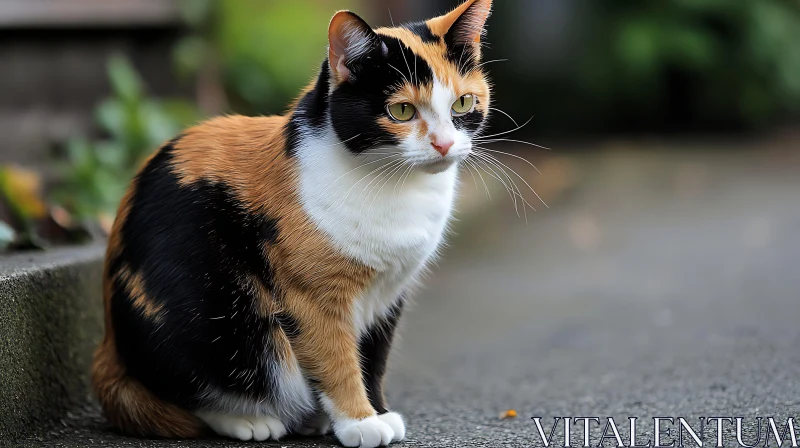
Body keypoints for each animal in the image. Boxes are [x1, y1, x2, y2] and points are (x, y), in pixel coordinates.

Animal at [92, 1, 494, 446]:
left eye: (463, 104)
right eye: (402, 110)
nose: (444, 144)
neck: (398, 188)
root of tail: (107, 349)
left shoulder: (389, 294)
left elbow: (373, 357)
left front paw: (377, 410)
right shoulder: (313, 297)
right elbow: (337, 358)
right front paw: (359, 420)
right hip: (210, 318)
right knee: (196, 391)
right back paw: (249, 420)